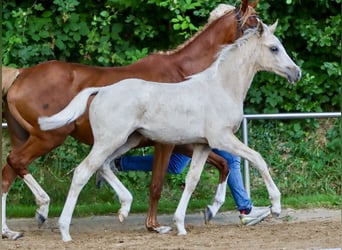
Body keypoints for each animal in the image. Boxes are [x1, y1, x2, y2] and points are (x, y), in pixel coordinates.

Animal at [2, 0, 260, 239]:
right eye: (254, 22)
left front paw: (213, 209)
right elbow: (156, 184)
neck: (184, 75)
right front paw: (154, 225)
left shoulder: (185, 141)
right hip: (49, 137)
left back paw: (9, 230)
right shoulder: (165, 144)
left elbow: (224, 163)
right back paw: (42, 208)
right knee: (16, 162)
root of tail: (20, 76)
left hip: (24, 137)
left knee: (7, 173)